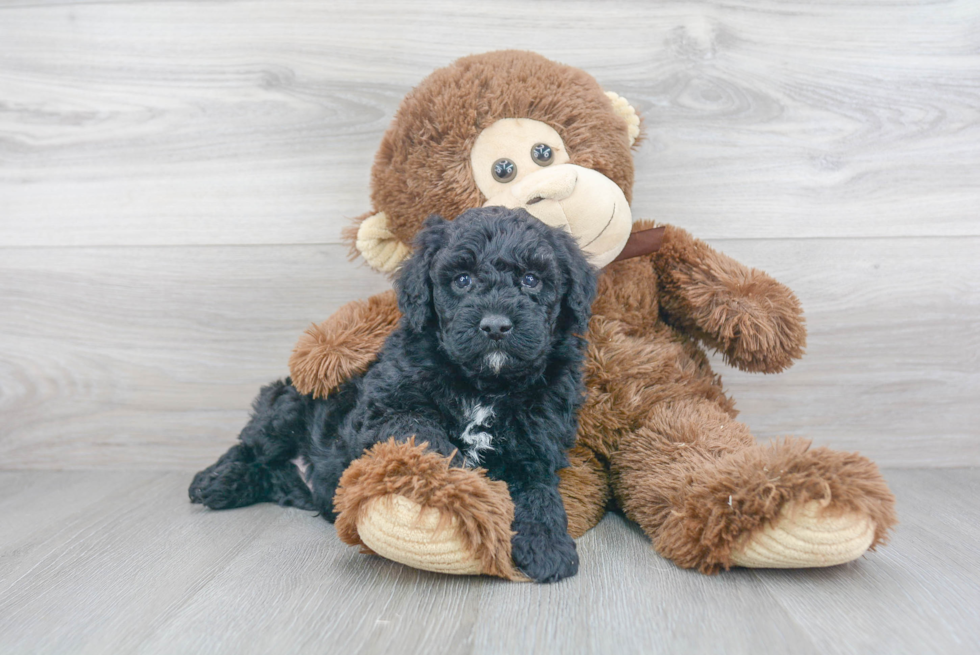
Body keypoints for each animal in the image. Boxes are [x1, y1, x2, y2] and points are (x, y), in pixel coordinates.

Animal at [188, 208, 592, 580]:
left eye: (531, 280)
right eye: (462, 280)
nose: (495, 325)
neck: (485, 384)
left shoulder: (537, 442)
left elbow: (538, 489)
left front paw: (548, 545)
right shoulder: (389, 406)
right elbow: (433, 442)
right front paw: (463, 487)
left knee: (276, 474)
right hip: (287, 406)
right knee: (253, 444)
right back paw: (214, 482)